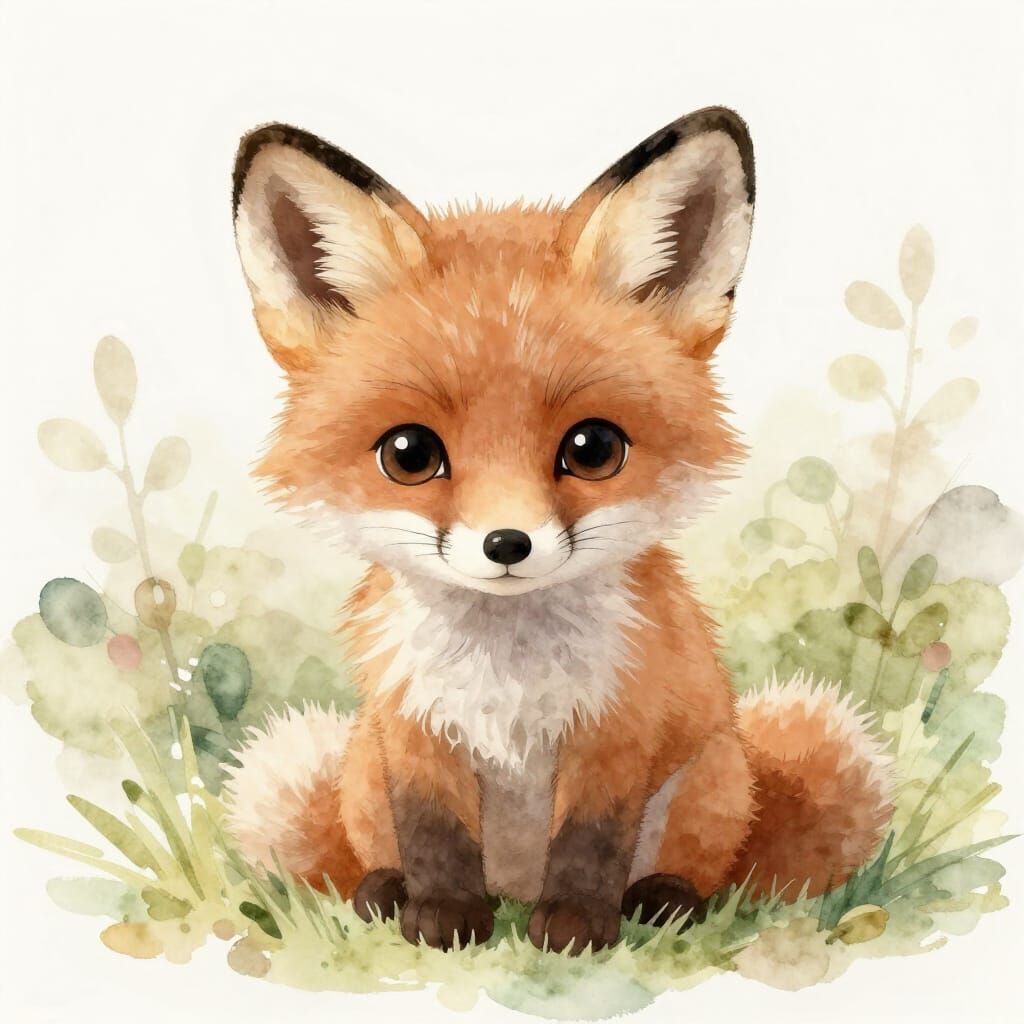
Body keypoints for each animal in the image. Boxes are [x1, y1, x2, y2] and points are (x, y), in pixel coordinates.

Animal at [223, 107, 895, 955]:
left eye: (593, 448)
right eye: (408, 455)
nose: (507, 545)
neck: (507, 674)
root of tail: (514, 881)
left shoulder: (618, 729)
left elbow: (590, 840)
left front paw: (575, 928)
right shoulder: (413, 732)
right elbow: (435, 835)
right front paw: (442, 919)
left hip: (710, 782)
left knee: (700, 868)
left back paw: (662, 902)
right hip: (362, 771)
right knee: (374, 855)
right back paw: (383, 893)